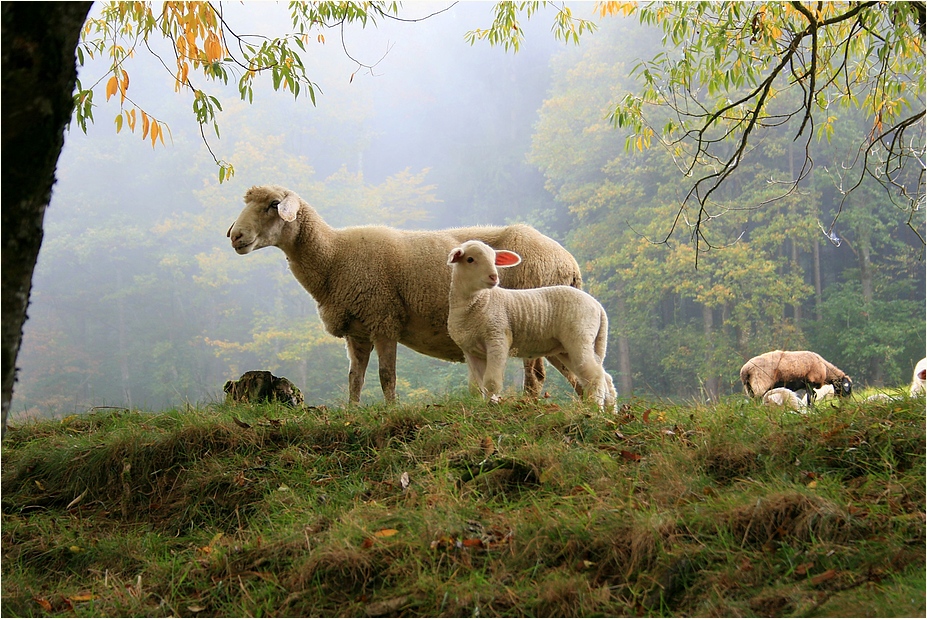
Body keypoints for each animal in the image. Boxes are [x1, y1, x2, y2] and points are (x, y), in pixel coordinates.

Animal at [448, 241, 620, 412]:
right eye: (470, 259)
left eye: (494, 260)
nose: (494, 277)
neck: (480, 302)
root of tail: (598, 306)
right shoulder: (470, 350)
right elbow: (475, 386)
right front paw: (479, 407)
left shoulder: (498, 338)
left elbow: (491, 382)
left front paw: (492, 407)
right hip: (569, 348)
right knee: (603, 376)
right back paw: (610, 411)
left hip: (580, 337)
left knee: (594, 375)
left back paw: (595, 409)